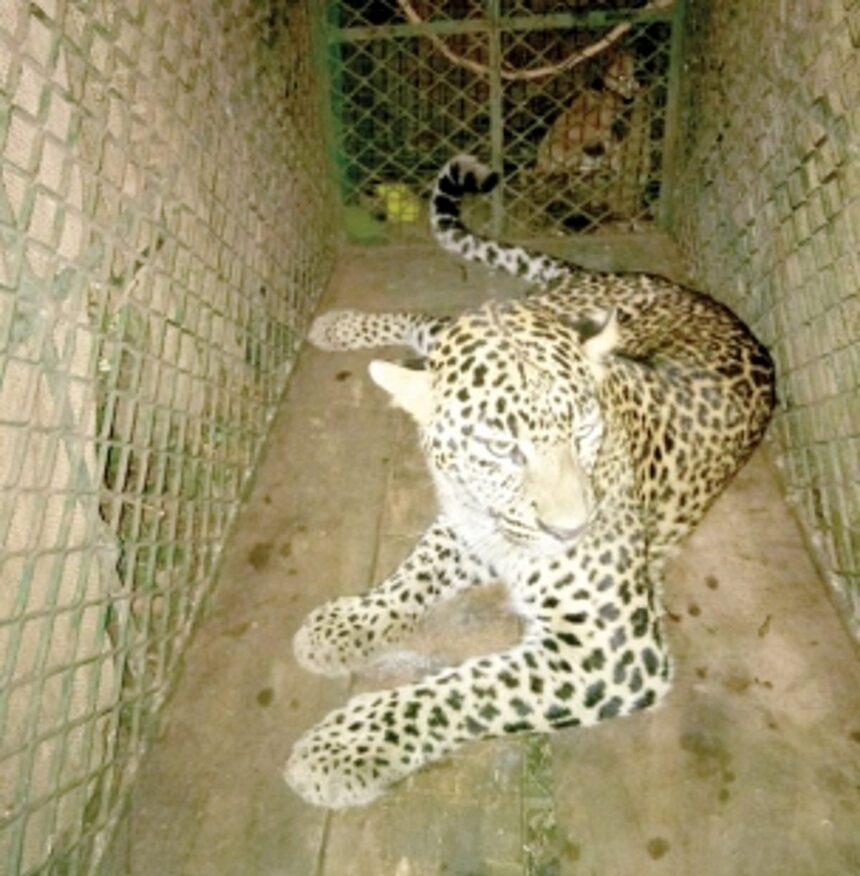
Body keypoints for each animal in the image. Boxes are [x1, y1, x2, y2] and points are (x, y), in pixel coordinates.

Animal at [284, 154, 775, 809]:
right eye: (501, 447)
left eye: (583, 430)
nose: (571, 533)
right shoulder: (481, 527)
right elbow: (415, 571)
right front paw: (349, 624)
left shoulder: (610, 651)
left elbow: (466, 689)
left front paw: (344, 746)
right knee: (426, 326)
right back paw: (341, 328)